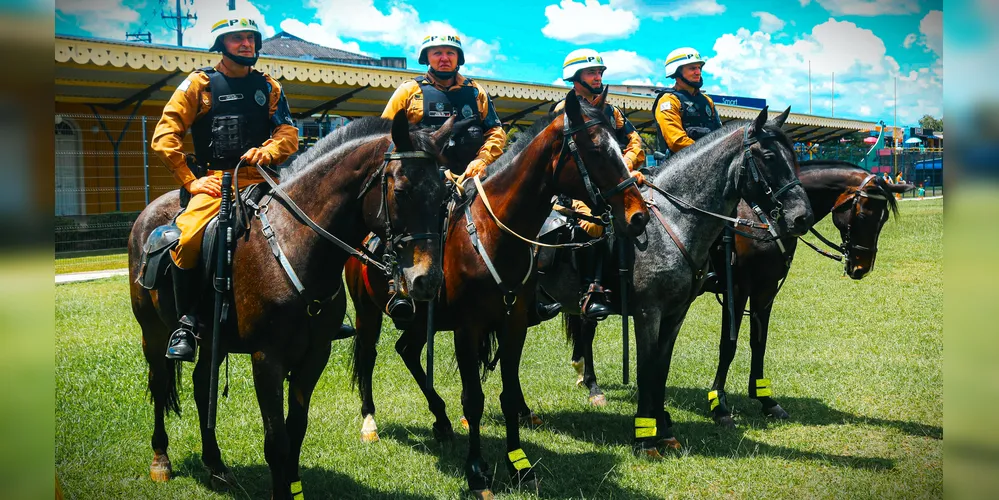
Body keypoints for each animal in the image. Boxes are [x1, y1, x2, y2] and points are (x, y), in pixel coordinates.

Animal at [127, 111, 452, 498]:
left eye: (444, 196)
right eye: (401, 191)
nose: (427, 279)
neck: (294, 243)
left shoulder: (315, 355)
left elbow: (296, 429)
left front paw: (293, 484)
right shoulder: (267, 359)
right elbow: (276, 440)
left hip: (212, 342)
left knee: (201, 384)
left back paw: (215, 464)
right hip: (153, 333)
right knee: (160, 383)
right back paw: (161, 458)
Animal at [348, 88, 652, 498]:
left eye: (623, 146)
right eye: (596, 150)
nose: (638, 216)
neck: (494, 235)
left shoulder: (513, 324)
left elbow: (508, 397)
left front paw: (518, 465)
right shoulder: (468, 329)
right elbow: (474, 400)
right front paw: (477, 471)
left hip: (418, 319)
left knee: (407, 351)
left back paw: (440, 418)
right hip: (368, 312)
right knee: (368, 358)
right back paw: (370, 422)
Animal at [544, 106, 816, 458]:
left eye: (794, 157)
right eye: (769, 156)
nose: (802, 217)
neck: (672, 222)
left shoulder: (680, 312)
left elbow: (662, 367)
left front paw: (663, 425)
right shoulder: (651, 313)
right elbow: (649, 368)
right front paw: (647, 434)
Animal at [712, 159, 916, 426]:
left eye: (884, 220)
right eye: (863, 214)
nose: (862, 268)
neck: (763, 218)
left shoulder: (765, 289)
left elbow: (759, 343)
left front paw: (765, 400)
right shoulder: (737, 289)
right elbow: (728, 345)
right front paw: (719, 405)